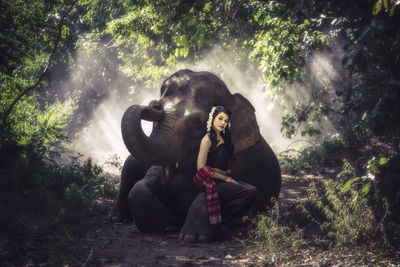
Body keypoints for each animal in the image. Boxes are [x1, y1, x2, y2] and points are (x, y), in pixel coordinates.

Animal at [111, 69, 282, 243]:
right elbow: (142, 186)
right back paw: (119, 218)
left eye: (197, 124)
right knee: (130, 164)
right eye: (158, 117)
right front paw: (160, 222)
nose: (155, 104)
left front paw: (194, 237)